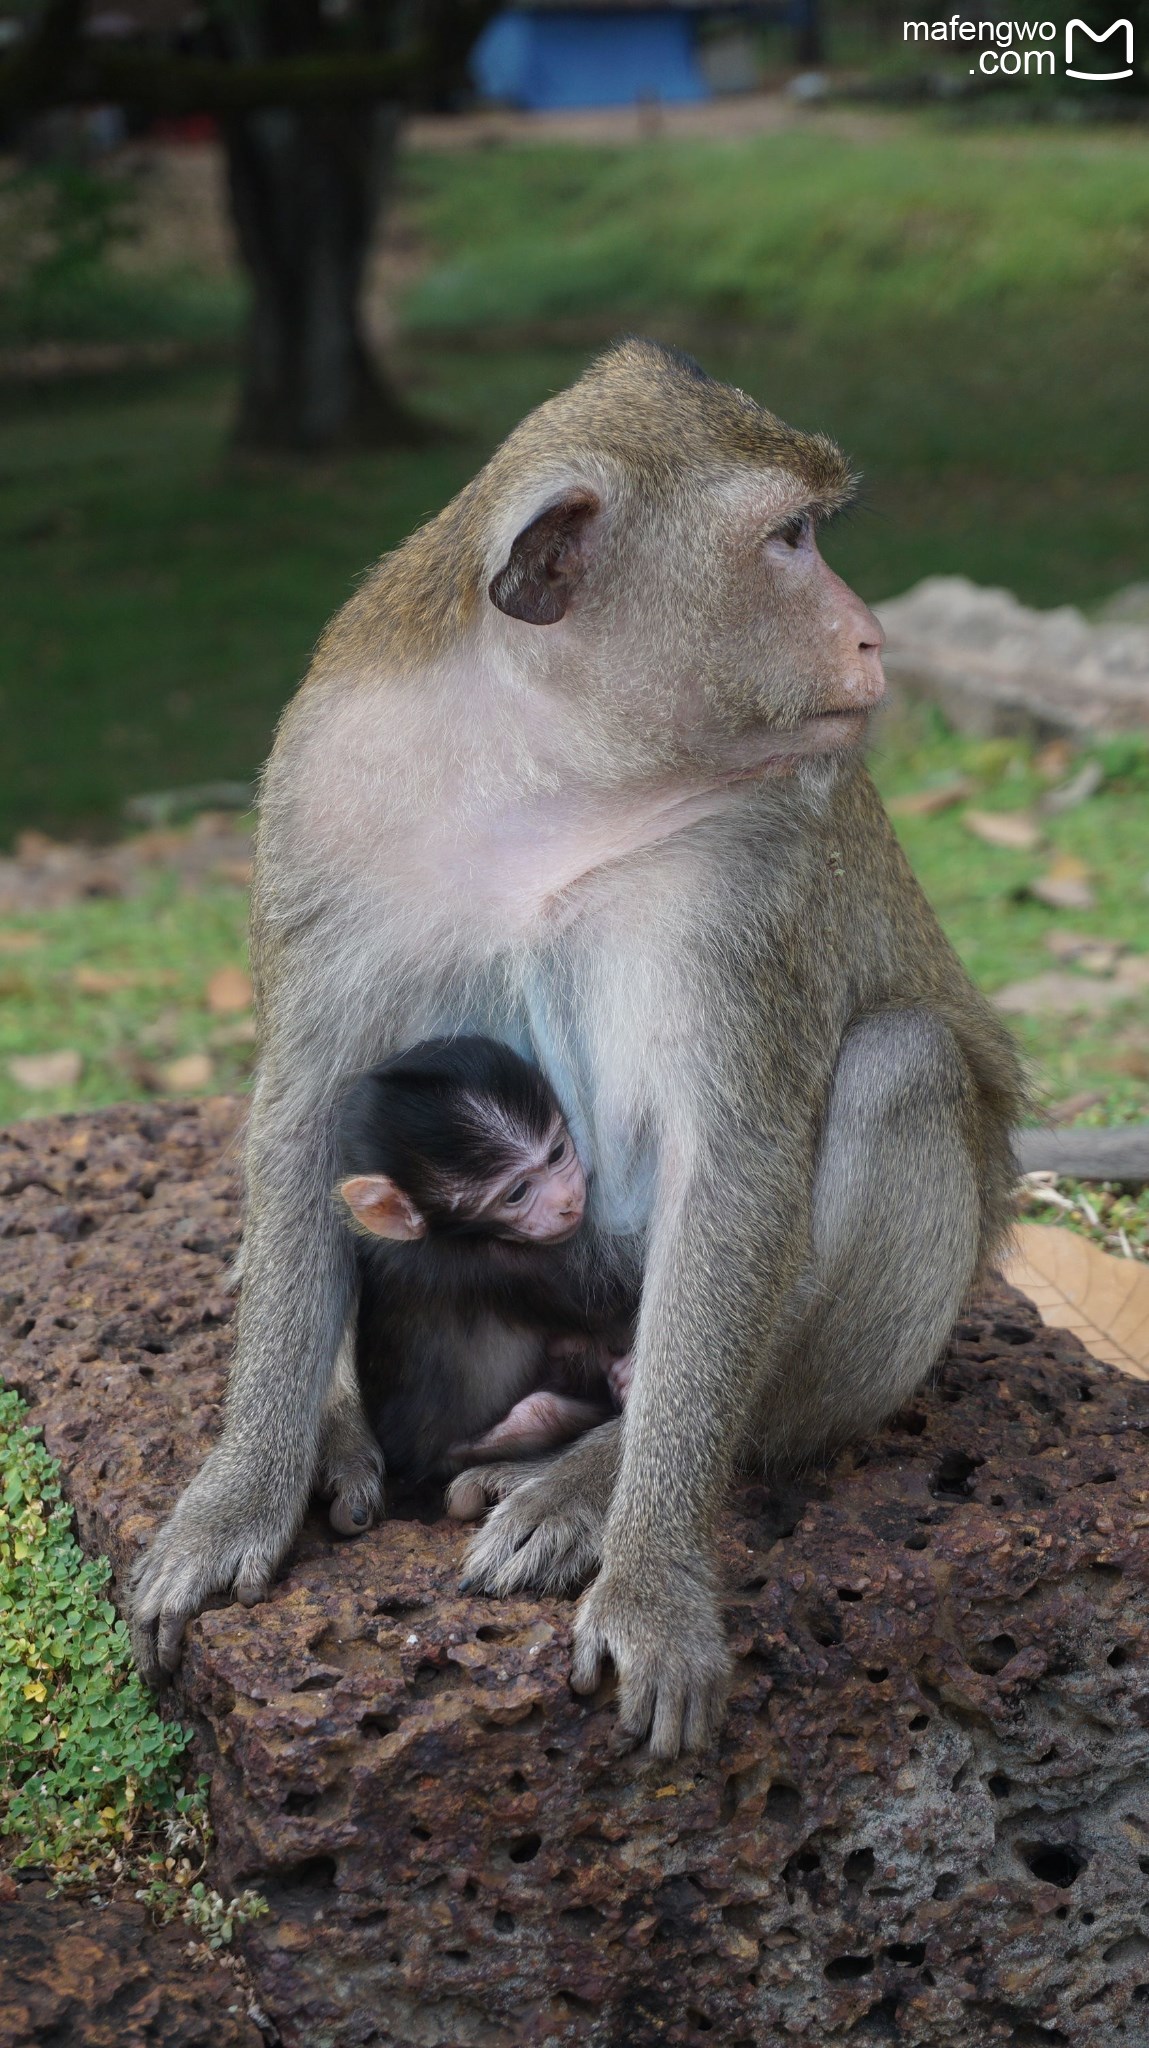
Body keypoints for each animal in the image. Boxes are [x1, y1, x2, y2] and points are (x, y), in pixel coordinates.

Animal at [331, 1040, 634, 1490]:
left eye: (556, 1154)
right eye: (517, 1193)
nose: (567, 1202)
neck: (443, 1235)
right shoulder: (492, 1267)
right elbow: (609, 1309)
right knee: (539, 1411)